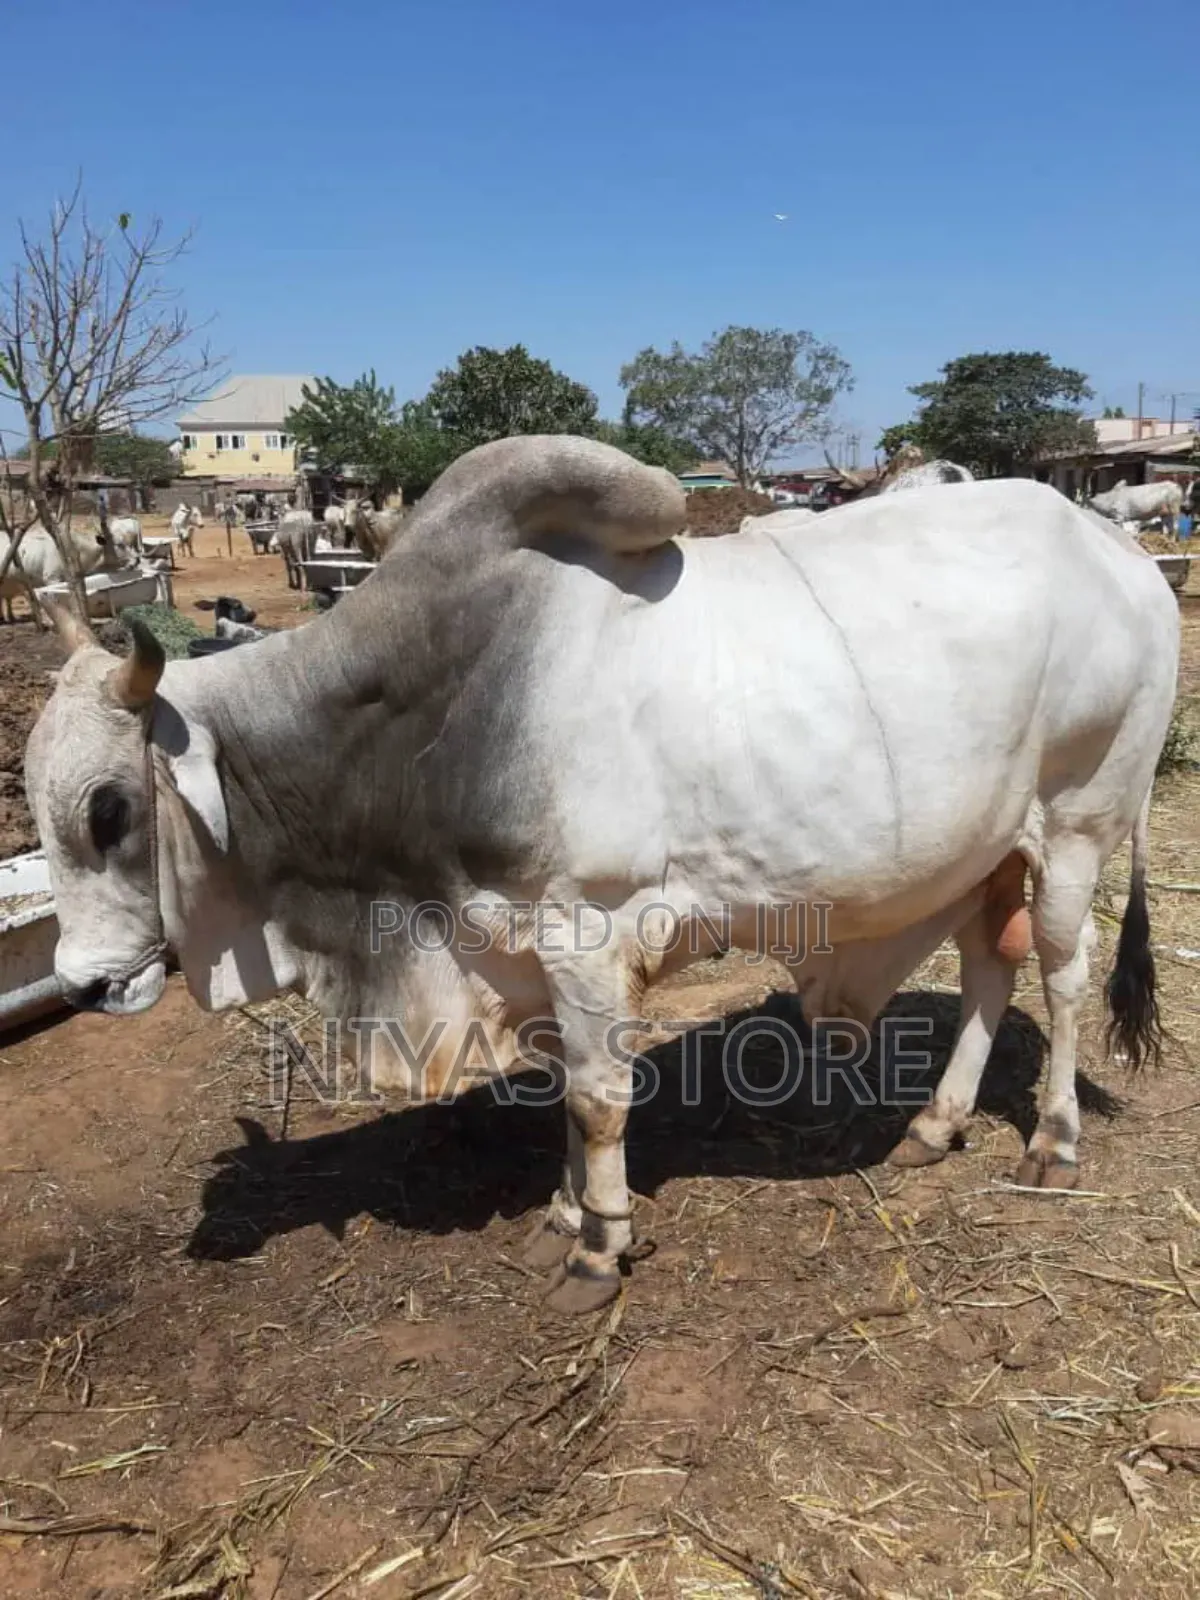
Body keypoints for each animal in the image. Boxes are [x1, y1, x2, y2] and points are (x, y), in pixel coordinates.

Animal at [25, 437, 1180, 1316]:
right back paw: (935, 1126)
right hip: (993, 846)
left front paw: (597, 1249)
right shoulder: (518, 948)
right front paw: (566, 1215)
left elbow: (595, 1100)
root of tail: (1121, 550)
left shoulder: (585, 933)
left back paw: (1054, 1144)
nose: (87, 982)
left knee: (1062, 977)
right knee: (989, 968)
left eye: (109, 808)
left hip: (1080, 823)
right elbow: (565, 1104)